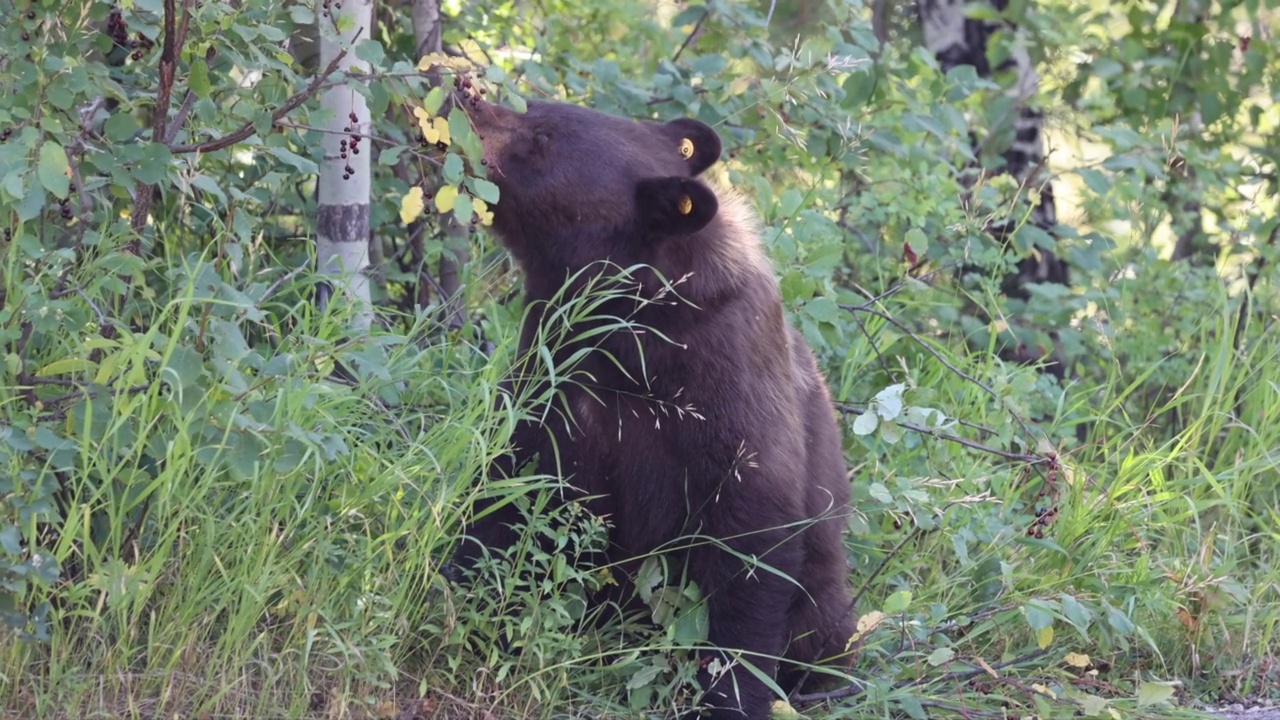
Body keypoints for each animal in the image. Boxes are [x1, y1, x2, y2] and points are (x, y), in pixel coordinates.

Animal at [445, 95, 855, 717]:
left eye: (541, 139)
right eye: (536, 105)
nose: (464, 96)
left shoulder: (733, 394)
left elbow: (751, 546)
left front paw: (732, 694)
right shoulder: (554, 376)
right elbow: (507, 490)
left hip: (829, 597)